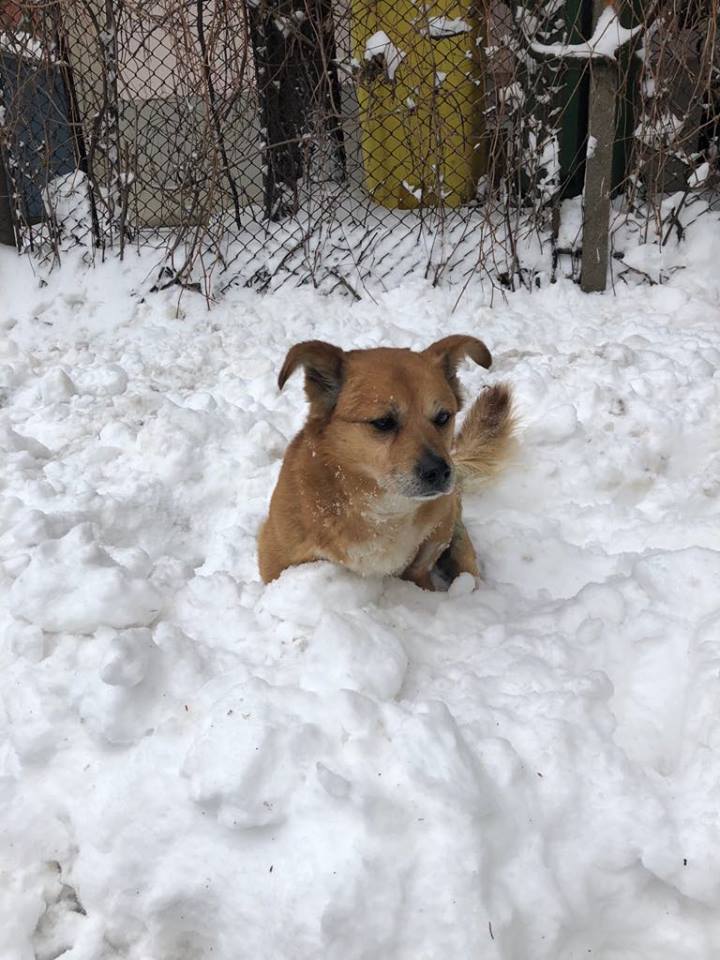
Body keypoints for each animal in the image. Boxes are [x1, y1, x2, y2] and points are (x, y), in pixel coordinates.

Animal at [258, 338, 512, 592]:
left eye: (442, 417)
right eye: (383, 422)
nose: (439, 472)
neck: (382, 510)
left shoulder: (437, 528)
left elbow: (419, 566)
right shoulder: (276, 558)